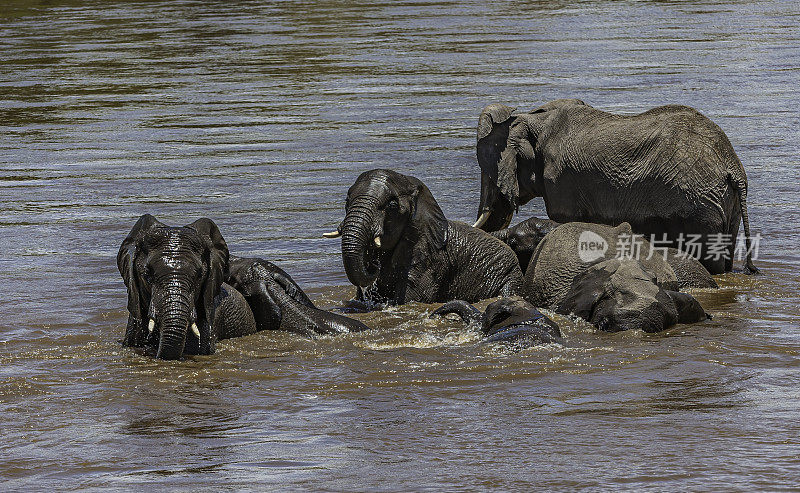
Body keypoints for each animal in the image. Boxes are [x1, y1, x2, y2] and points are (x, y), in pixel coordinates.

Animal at [324, 171, 524, 306]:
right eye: (347, 201)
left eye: (392, 205)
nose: (373, 265)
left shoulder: (430, 258)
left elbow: (412, 298)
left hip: (510, 277)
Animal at [472, 98, 760, 274]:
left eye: (488, 172)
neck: (533, 118)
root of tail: (732, 166)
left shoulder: (560, 180)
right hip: (726, 202)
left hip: (699, 203)